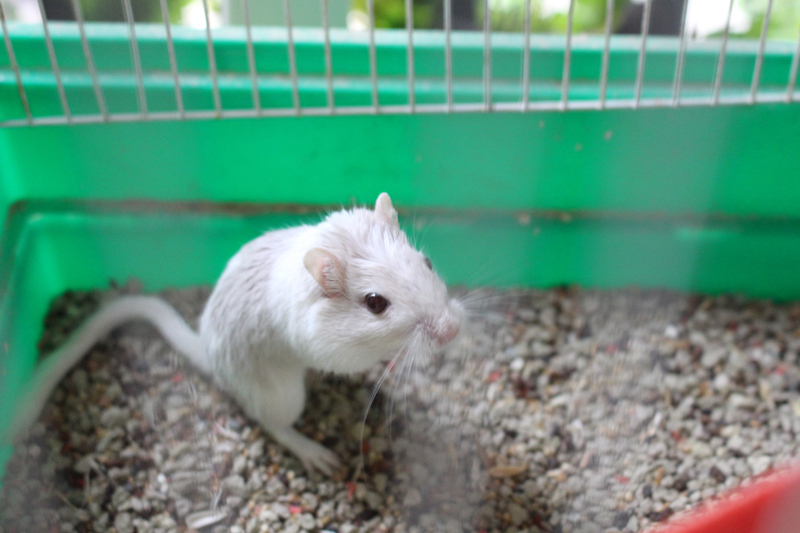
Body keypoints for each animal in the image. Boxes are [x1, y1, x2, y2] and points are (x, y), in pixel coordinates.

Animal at [5, 193, 463, 475]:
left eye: (426, 262)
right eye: (375, 303)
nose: (453, 331)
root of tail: (206, 351)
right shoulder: (329, 348)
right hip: (281, 395)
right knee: (273, 424)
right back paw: (318, 455)